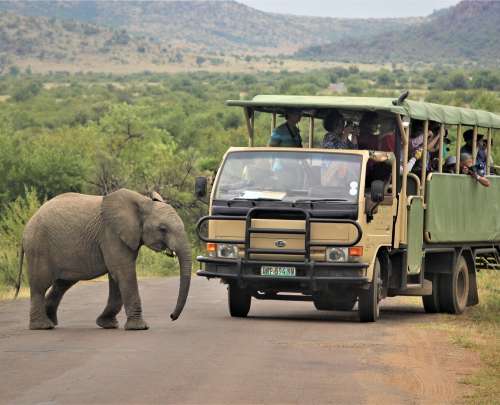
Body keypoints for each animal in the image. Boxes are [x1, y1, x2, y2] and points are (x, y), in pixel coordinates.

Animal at [15, 188, 191, 330]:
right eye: (163, 229)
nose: (171, 316)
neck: (143, 202)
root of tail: (25, 228)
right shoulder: (111, 234)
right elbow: (123, 273)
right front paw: (140, 327)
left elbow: (117, 278)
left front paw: (107, 324)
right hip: (38, 247)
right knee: (40, 285)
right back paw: (42, 326)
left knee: (62, 284)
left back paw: (51, 322)